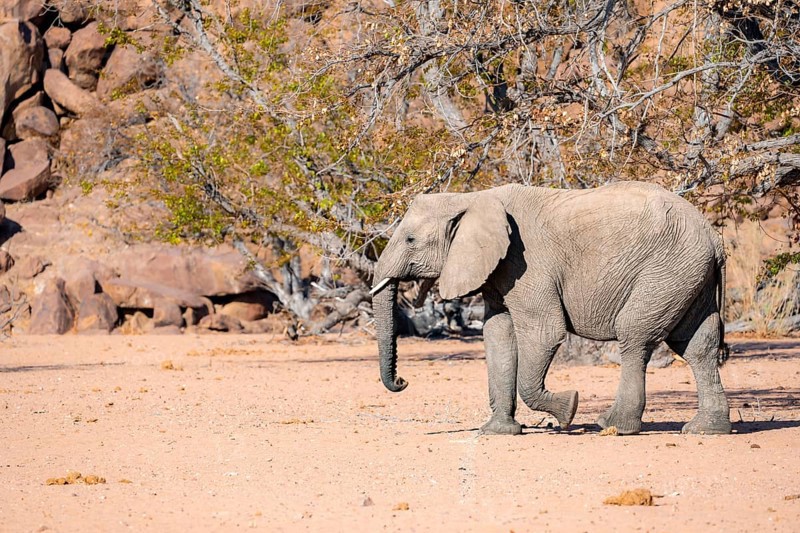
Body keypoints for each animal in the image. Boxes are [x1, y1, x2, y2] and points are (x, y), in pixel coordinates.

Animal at [370, 181, 731, 436]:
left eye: (410, 240)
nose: (402, 381)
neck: (471, 198)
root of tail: (715, 239)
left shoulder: (526, 263)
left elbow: (544, 331)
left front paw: (568, 410)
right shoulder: (500, 270)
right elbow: (497, 335)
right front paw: (498, 433)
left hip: (666, 270)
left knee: (635, 337)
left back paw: (613, 426)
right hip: (688, 275)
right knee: (697, 345)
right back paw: (705, 430)